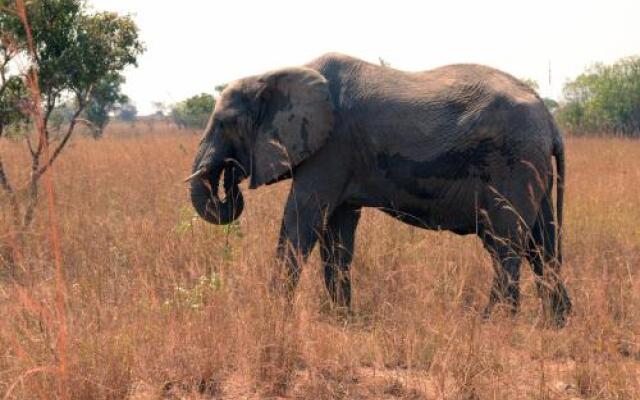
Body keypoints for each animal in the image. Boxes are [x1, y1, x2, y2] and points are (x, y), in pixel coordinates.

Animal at [188, 51, 572, 324]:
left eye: (223, 124)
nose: (230, 180)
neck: (276, 73)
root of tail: (550, 121)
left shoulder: (331, 148)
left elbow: (302, 219)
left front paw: (272, 315)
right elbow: (338, 233)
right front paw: (342, 320)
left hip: (512, 162)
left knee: (505, 243)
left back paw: (492, 323)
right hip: (531, 167)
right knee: (542, 244)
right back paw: (556, 323)